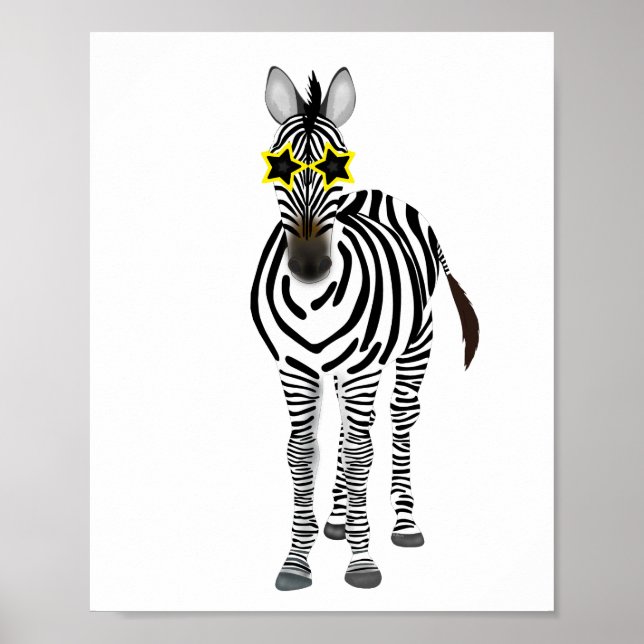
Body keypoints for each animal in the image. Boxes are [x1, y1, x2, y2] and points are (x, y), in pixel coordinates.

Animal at [251, 67, 479, 591]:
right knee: (348, 428)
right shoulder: (294, 367)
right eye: (278, 168)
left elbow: (360, 456)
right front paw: (297, 560)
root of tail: (380, 194)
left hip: (413, 345)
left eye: (338, 170)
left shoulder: (362, 367)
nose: (309, 268)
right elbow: (302, 452)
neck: (314, 302)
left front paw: (362, 563)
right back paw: (335, 519)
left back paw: (403, 524)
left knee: (397, 422)